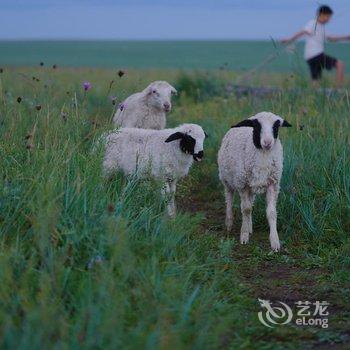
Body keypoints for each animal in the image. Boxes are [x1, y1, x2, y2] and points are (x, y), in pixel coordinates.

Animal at [217, 112, 292, 252]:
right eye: (257, 126)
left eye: (276, 126)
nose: (267, 142)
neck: (263, 155)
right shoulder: (243, 185)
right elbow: (246, 209)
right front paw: (244, 235)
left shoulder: (272, 184)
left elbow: (271, 213)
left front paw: (275, 242)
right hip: (227, 180)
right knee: (229, 199)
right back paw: (229, 224)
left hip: (252, 186)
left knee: (250, 203)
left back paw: (250, 226)